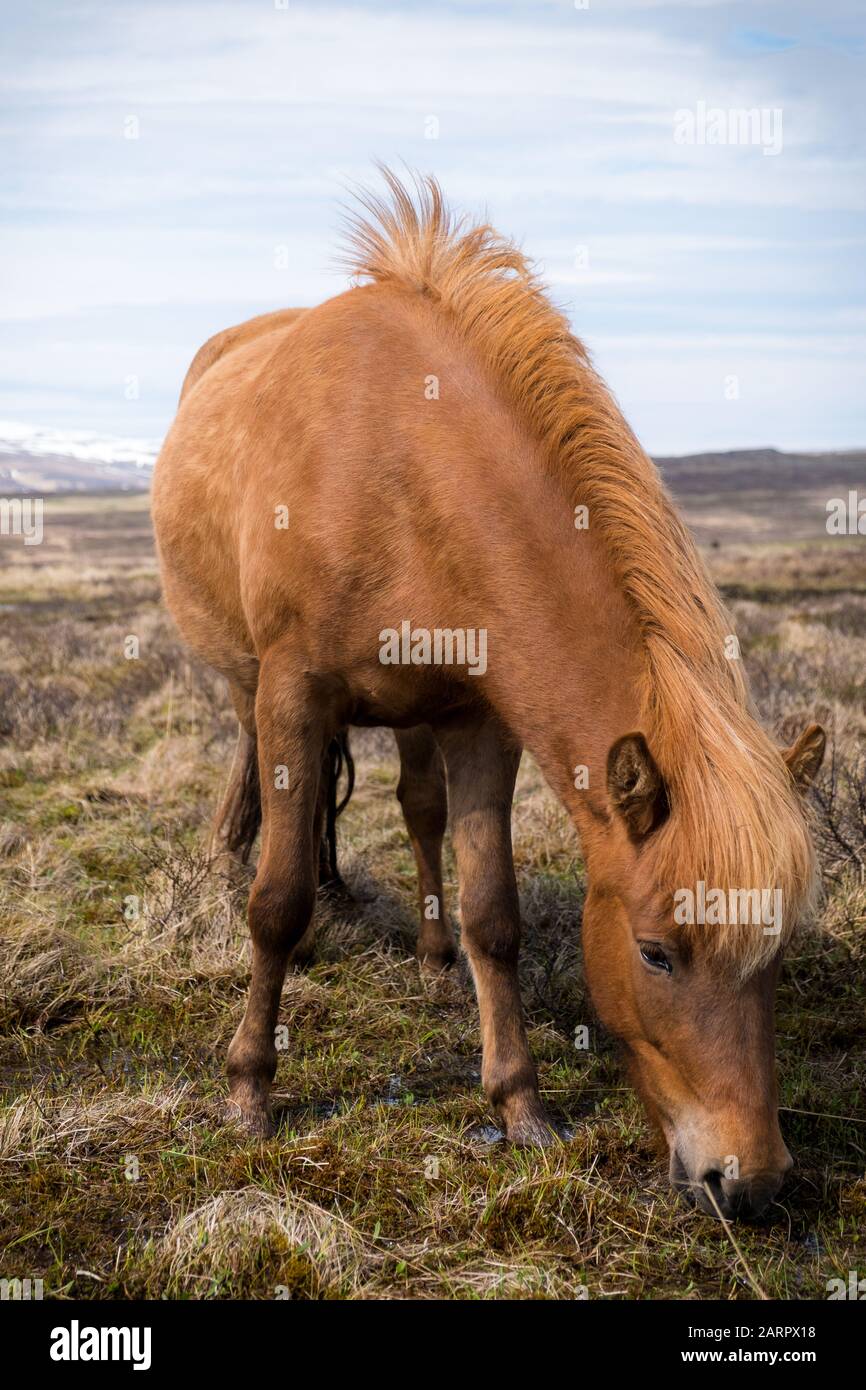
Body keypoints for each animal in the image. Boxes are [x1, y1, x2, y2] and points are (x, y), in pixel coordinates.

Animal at [154, 170, 828, 1217]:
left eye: (779, 948)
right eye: (656, 952)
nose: (748, 1181)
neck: (395, 455)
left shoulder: (478, 718)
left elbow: (493, 914)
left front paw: (519, 1105)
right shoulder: (295, 691)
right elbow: (278, 900)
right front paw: (248, 1091)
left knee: (418, 813)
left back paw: (434, 963)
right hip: (245, 683)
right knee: (265, 793)